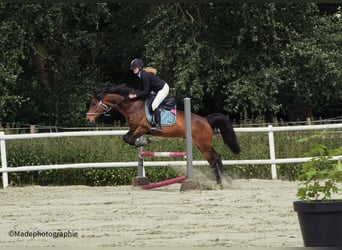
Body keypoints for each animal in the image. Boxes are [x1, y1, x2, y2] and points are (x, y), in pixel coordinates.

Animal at [86, 84, 240, 184]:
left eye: (93, 103)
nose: (88, 119)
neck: (133, 107)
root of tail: (206, 120)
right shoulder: (134, 129)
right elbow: (126, 138)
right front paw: (141, 143)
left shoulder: (142, 128)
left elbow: (129, 139)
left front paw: (144, 142)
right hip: (204, 143)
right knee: (217, 157)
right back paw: (226, 181)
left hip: (202, 144)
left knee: (212, 160)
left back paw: (220, 183)